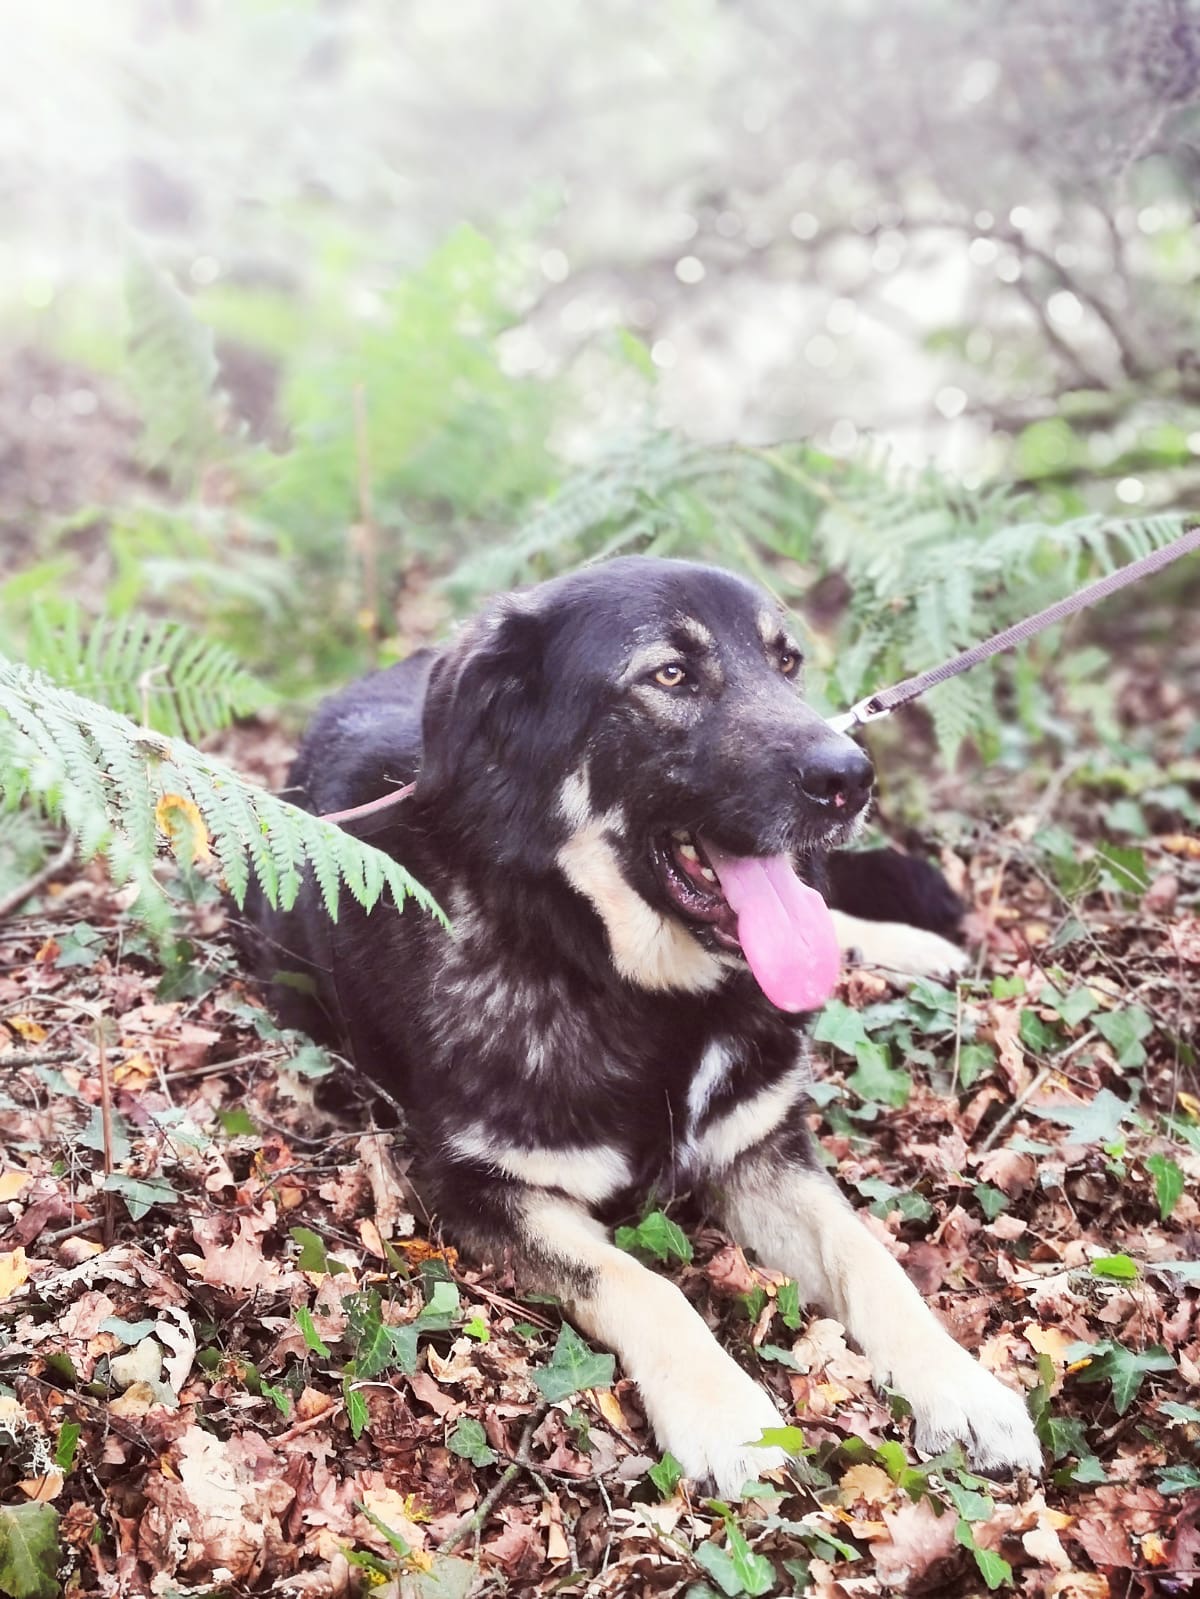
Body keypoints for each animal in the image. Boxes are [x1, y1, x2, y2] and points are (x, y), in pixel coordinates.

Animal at [246, 556, 1041, 1494]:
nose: (852, 776)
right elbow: (642, 1281)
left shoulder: (762, 1148)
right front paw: (727, 1413)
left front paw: (958, 1383)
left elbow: (870, 1258)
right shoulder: (482, 1187)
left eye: (787, 662)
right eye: (669, 675)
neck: (625, 983)